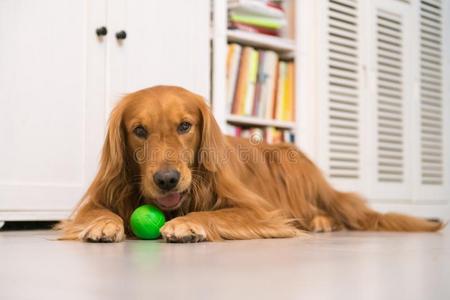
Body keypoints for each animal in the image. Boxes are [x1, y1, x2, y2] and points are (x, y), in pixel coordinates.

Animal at [56, 85, 442, 243]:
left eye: (185, 126)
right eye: (139, 131)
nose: (167, 179)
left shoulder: (262, 211)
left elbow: (214, 214)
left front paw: (188, 224)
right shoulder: (98, 197)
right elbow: (96, 212)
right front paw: (104, 223)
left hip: (290, 164)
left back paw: (323, 222)